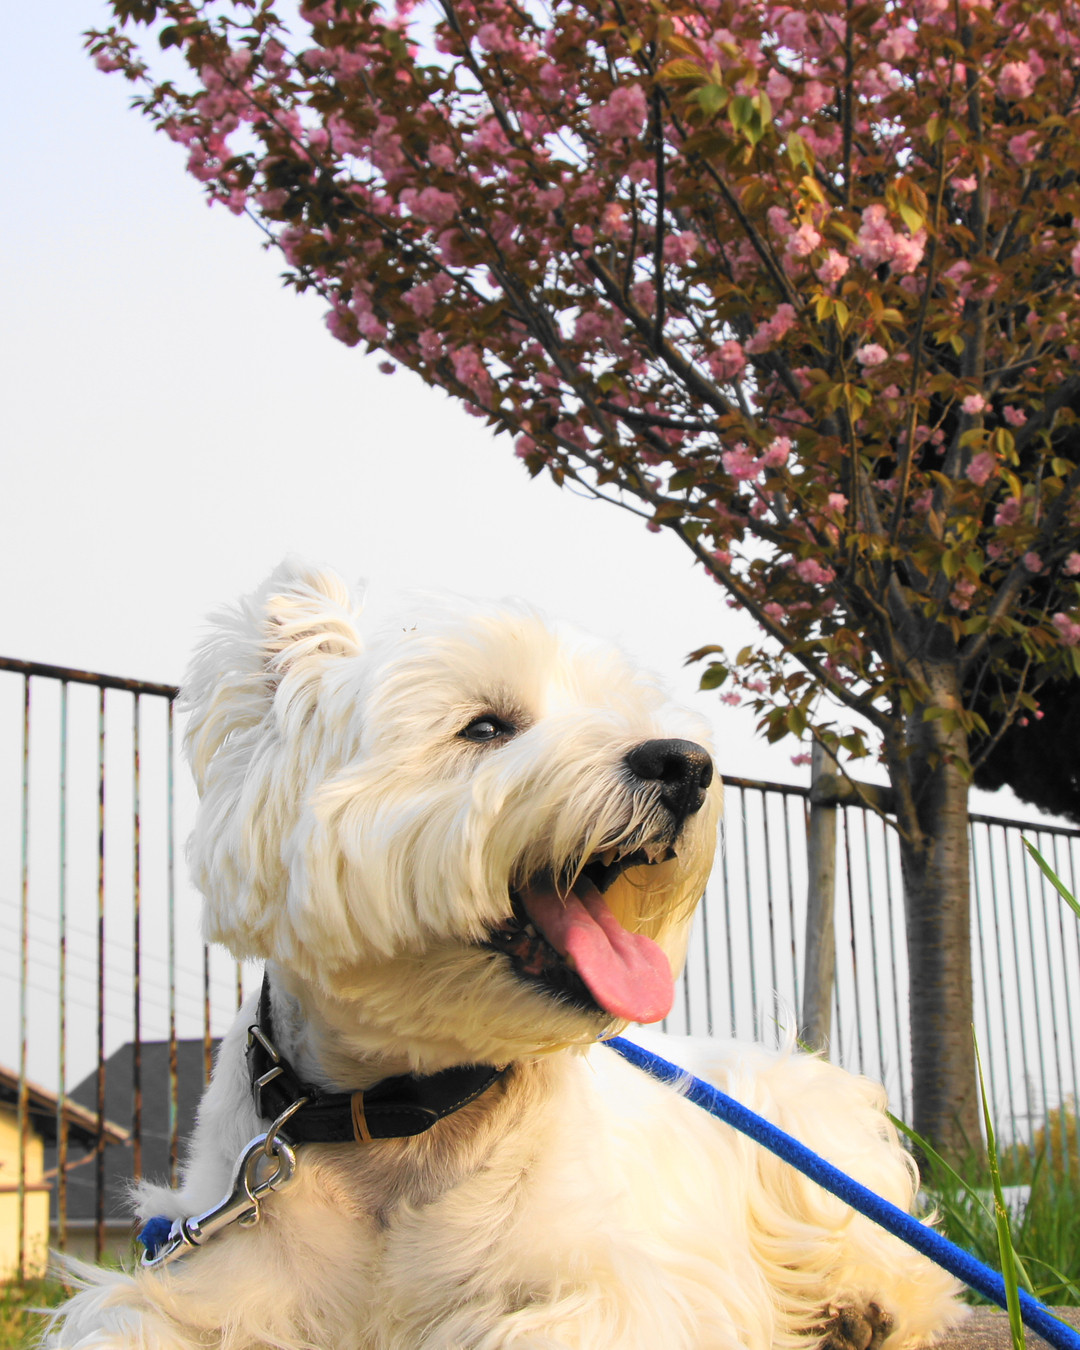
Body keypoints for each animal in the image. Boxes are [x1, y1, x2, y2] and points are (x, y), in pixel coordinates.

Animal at [47, 560, 962, 1349]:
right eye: (484, 726)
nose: (686, 765)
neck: (400, 1119)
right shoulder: (204, 1274)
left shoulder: (615, 1286)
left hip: (802, 1142)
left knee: (902, 1258)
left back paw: (863, 1310)